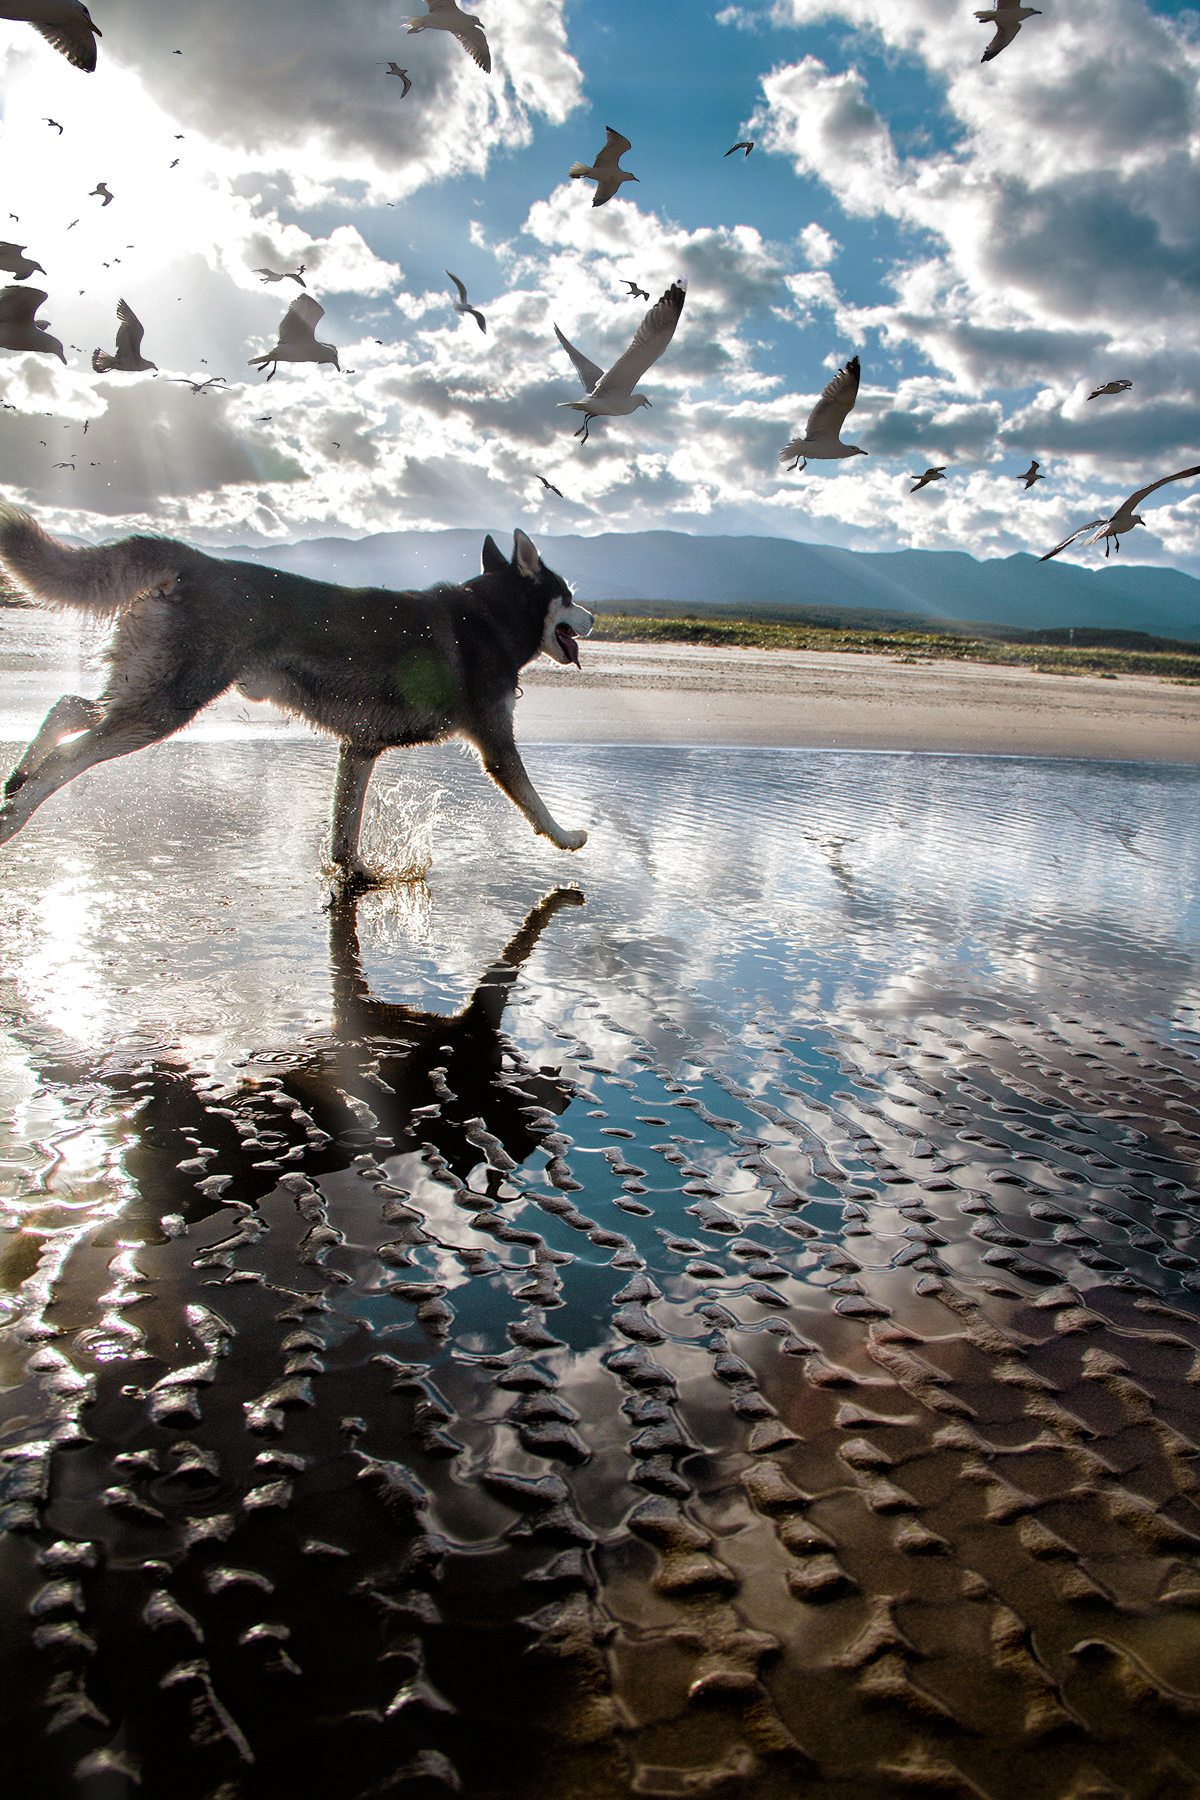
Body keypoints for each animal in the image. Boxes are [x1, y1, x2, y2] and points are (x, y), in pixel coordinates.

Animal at [0, 511, 597, 882]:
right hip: (169, 703)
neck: (492, 617)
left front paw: (355, 875)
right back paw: (16, 812)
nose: (592, 617)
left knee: (71, 707)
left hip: (153, 686)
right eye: (570, 595)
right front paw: (565, 836)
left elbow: (344, 831)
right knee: (71, 753)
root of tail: (199, 561)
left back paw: (18, 776)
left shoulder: (359, 747)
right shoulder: (495, 743)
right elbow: (534, 801)